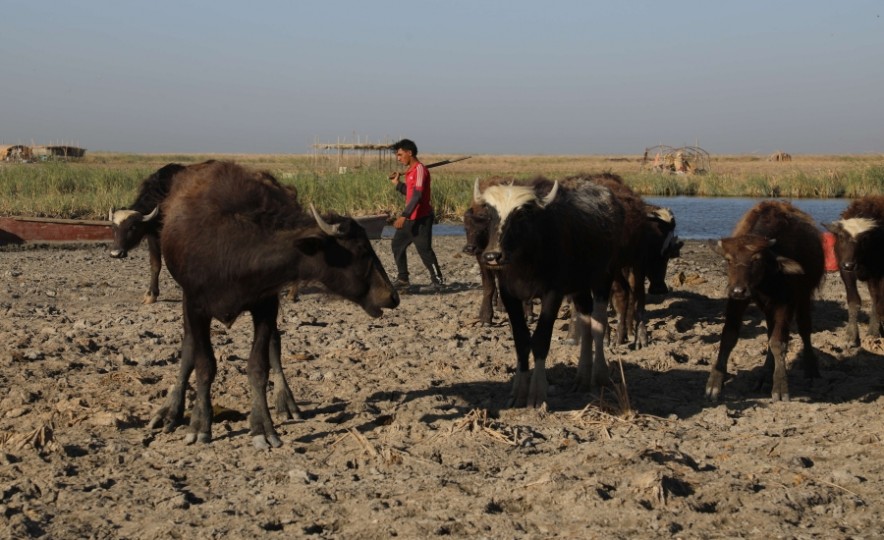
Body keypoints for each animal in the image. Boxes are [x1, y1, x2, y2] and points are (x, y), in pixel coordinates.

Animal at [109, 160, 187, 304]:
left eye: (132, 227)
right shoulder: (153, 237)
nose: (115, 253)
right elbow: (155, 264)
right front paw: (151, 294)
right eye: (114, 227)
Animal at [150, 159, 398, 448]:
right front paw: (201, 423)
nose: (392, 296)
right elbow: (204, 365)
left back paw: (285, 400)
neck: (231, 250)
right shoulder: (195, 306)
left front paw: (263, 427)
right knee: (189, 346)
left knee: (275, 345)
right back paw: (171, 409)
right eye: (360, 250)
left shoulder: (266, 306)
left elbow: (258, 366)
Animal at [474, 175, 624, 408]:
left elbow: (541, 340)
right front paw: (519, 391)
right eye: (490, 214)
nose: (492, 256)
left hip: (604, 278)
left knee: (599, 323)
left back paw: (600, 375)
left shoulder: (553, 294)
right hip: (579, 288)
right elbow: (521, 340)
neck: (525, 261)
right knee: (586, 323)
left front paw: (537, 393)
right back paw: (582, 378)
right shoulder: (509, 296)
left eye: (521, 214)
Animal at [708, 201, 824, 400]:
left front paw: (780, 387)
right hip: (768, 307)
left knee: (804, 328)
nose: (739, 290)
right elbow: (728, 336)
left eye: (757, 260)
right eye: (729, 260)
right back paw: (764, 377)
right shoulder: (737, 301)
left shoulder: (786, 303)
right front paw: (714, 383)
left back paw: (811, 371)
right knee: (771, 333)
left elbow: (778, 343)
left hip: (804, 297)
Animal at [824, 196, 884, 348]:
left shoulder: (879, 274)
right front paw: (851, 336)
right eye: (841, 236)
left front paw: (873, 332)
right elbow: (853, 300)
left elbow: (877, 300)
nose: (849, 264)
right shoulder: (846, 273)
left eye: (864, 239)